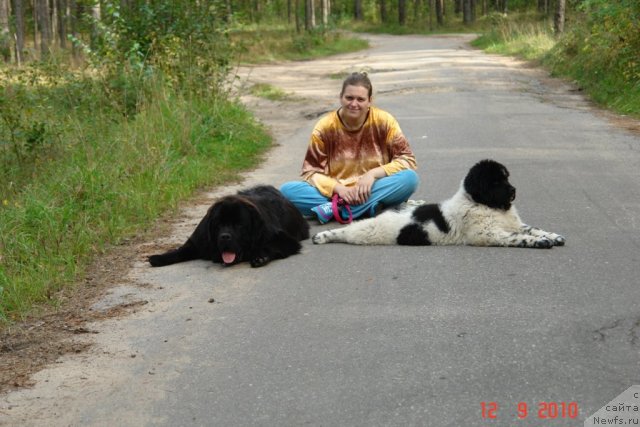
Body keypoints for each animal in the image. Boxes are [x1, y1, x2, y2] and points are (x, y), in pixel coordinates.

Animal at [150, 186, 310, 268]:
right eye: (219, 225)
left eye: (239, 225)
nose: (225, 237)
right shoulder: (199, 240)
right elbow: (181, 251)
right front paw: (159, 258)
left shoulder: (283, 239)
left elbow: (270, 245)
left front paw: (260, 257)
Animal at [312, 160, 568, 247]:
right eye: (496, 182)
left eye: (506, 178)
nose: (513, 191)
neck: (483, 204)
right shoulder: (487, 234)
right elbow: (518, 237)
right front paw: (539, 242)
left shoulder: (512, 224)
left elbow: (531, 228)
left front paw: (552, 236)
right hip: (371, 232)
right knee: (348, 231)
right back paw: (322, 237)